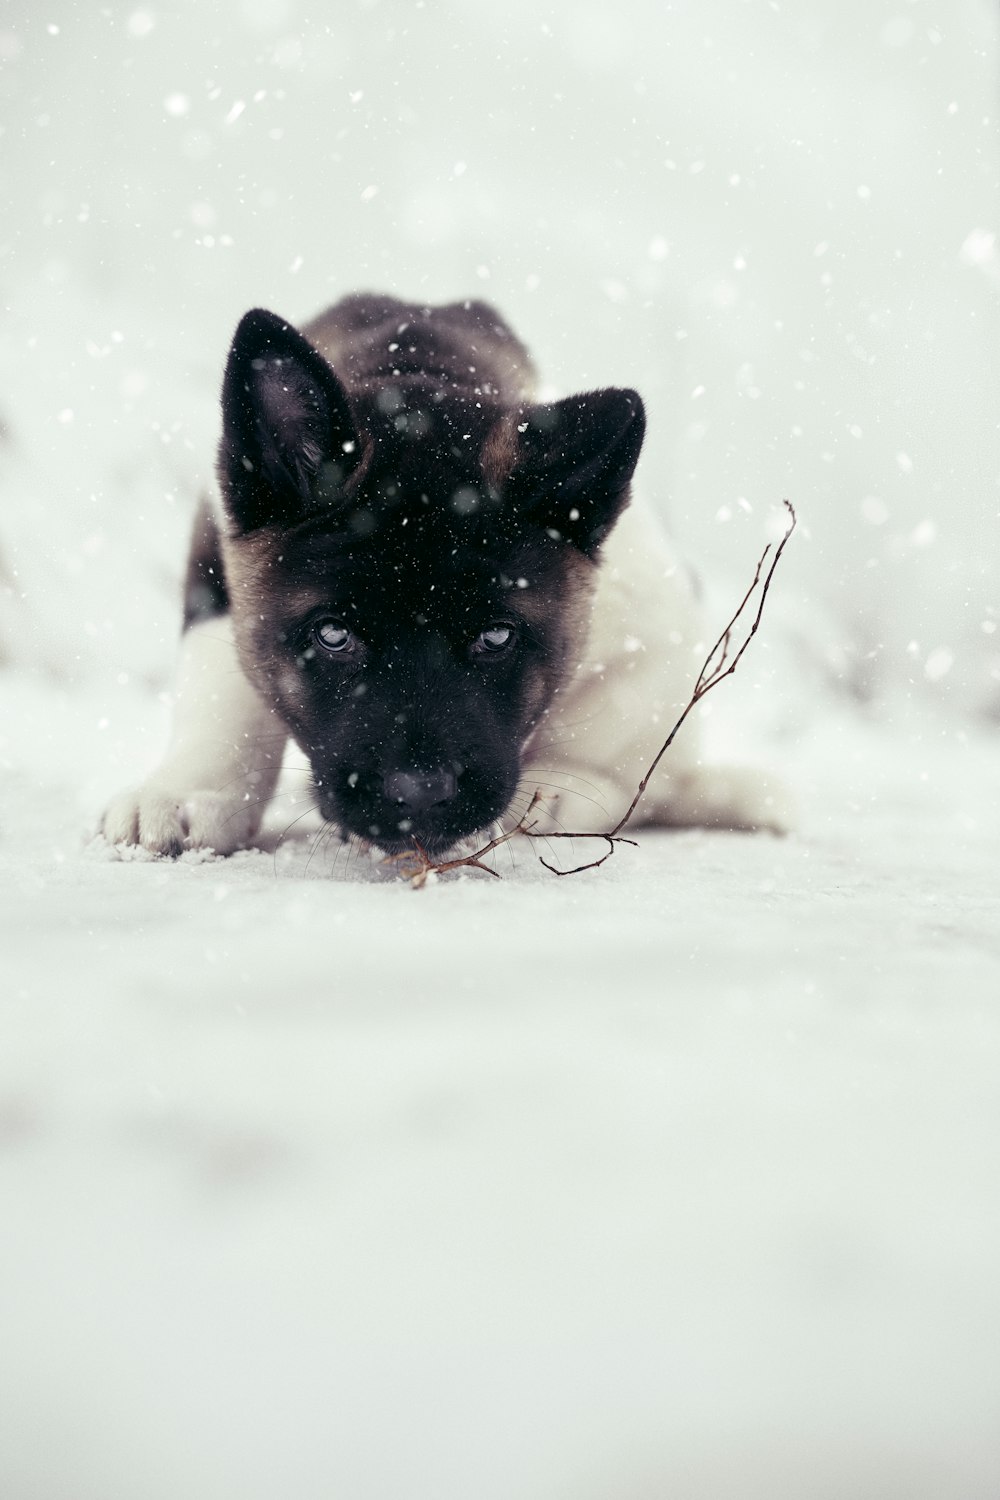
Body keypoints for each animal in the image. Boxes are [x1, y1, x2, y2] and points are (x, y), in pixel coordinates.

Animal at [101, 292, 791, 864]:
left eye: (496, 638)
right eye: (333, 636)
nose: (420, 795)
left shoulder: (653, 622)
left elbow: (615, 724)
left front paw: (556, 787)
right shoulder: (216, 568)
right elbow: (223, 694)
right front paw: (191, 793)